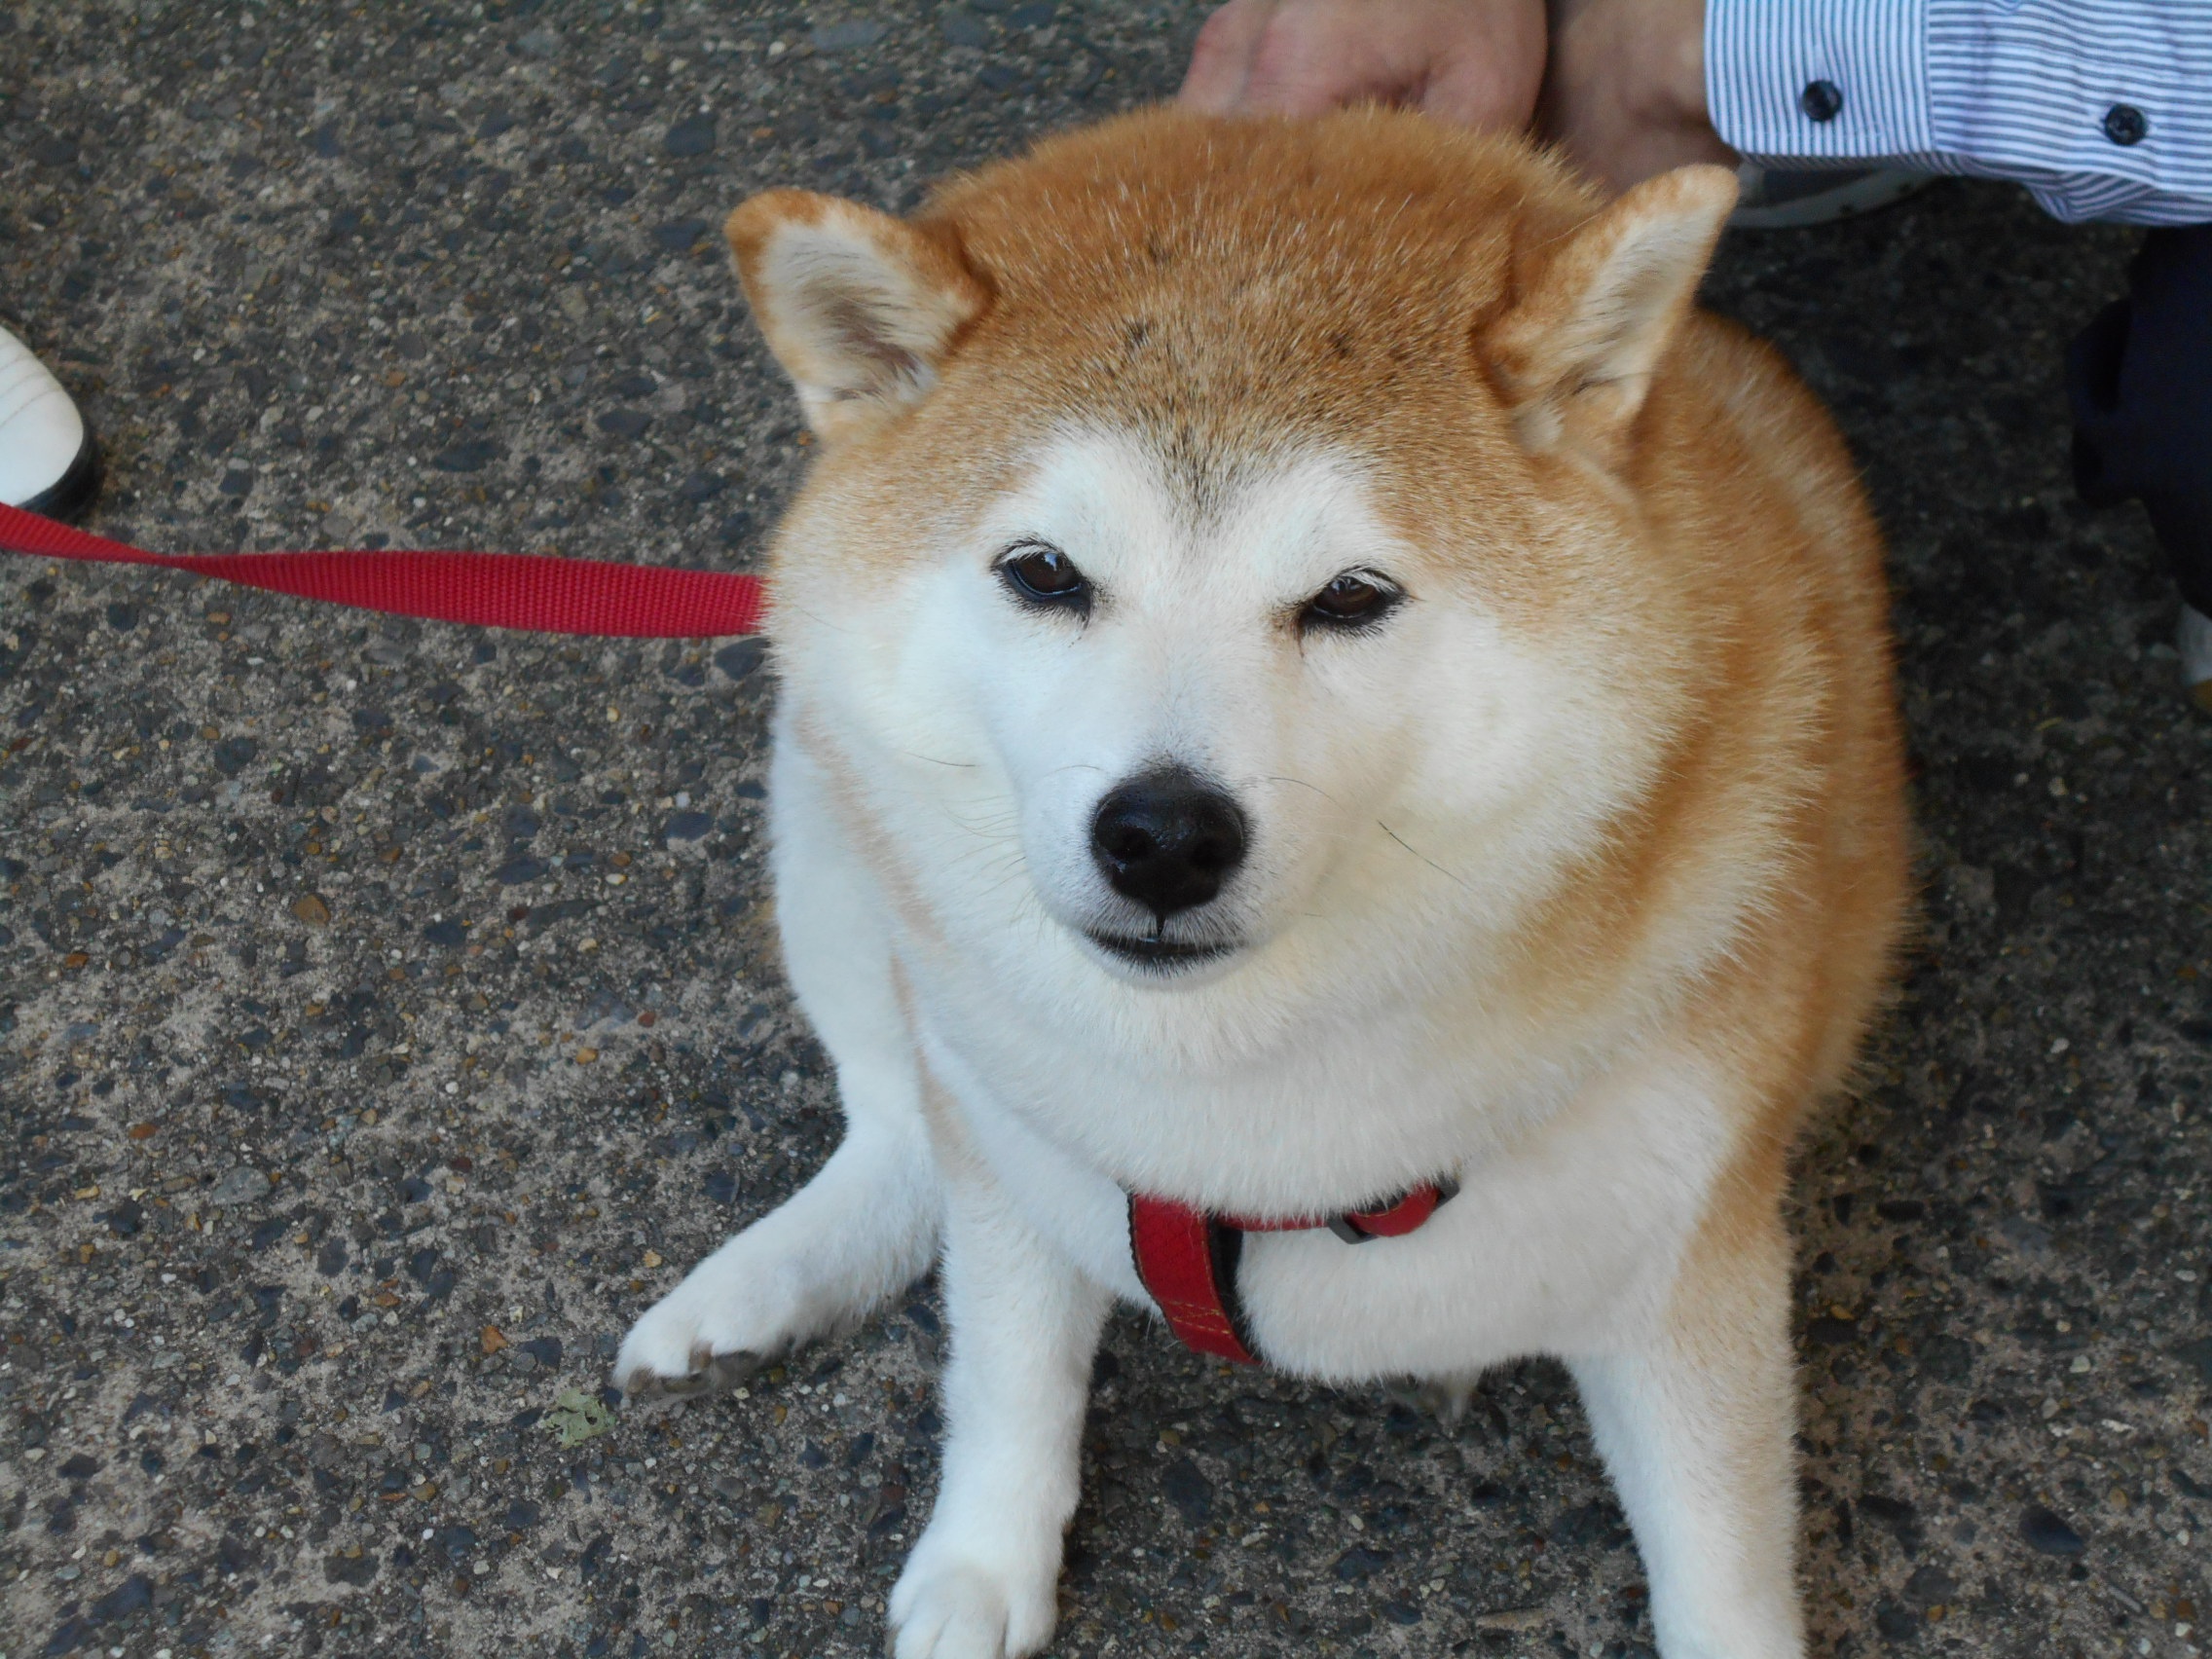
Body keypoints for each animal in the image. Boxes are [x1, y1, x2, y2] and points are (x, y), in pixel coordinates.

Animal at [614, 107, 1911, 1659]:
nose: (1163, 835)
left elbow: (1723, 1584)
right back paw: (763, 1282)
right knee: (894, 1109)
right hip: (822, 810)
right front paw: (981, 1565)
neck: (1235, 1108)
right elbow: (1006, 1378)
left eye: (1349, 597)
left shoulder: (1689, 1273)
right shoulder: (1012, 1159)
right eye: (1043, 573)